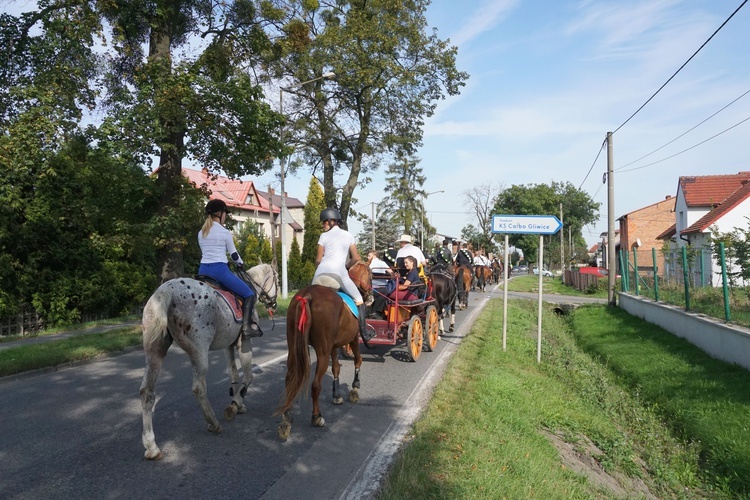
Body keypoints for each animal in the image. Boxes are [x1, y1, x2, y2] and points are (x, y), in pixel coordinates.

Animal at [140, 264, 278, 458]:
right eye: (278, 279)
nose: (274, 303)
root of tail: (165, 290)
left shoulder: (228, 344)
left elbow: (233, 373)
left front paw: (237, 403)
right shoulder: (244, 341)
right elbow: (248, 375)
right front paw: (235, 405)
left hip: (155, 351)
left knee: (147, 393)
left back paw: (151, 446)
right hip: (199, 351)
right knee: (199, 388)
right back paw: (213, 422)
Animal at [276, 260, 374, 440]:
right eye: (371, 274)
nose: (370, 297)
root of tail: (307, 295)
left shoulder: (333, 346)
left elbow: (335, 368)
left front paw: (336, 395)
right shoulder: (353, 339)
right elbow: (358, 359)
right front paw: (355, 388)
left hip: (294, 348)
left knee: (290, 379)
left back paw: (286, 419)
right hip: (322, 352)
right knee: (315, 385)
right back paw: (317, 417)